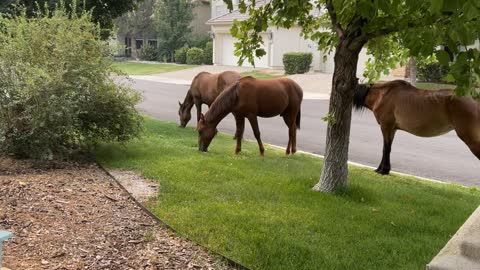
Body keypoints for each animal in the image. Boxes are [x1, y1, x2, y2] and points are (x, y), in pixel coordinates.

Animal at [352, 79, 480, 175]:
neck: (383, 94)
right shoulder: (392, 129)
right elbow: (387, 148)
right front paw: (381, 169)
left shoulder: (386, 126)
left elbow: (386, 148)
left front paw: (383, 170)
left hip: (471, 140)